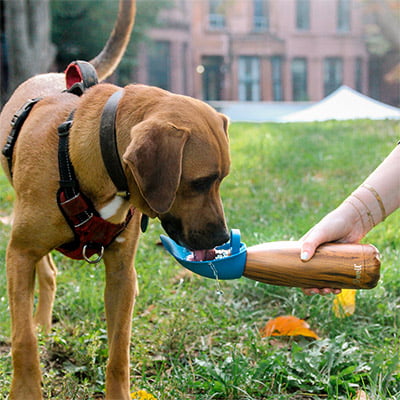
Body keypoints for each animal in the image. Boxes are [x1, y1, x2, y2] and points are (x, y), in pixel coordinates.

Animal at [0, 0, 230, 396]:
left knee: (49, 275)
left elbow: (119, 351)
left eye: (221, 180)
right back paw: (41, 327)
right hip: (22, 238)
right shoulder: (19, 255)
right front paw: (26, 391)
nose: (223, 239)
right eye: (201, 182)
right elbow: (22, 341)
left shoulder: (123, 275)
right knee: (42, 279)